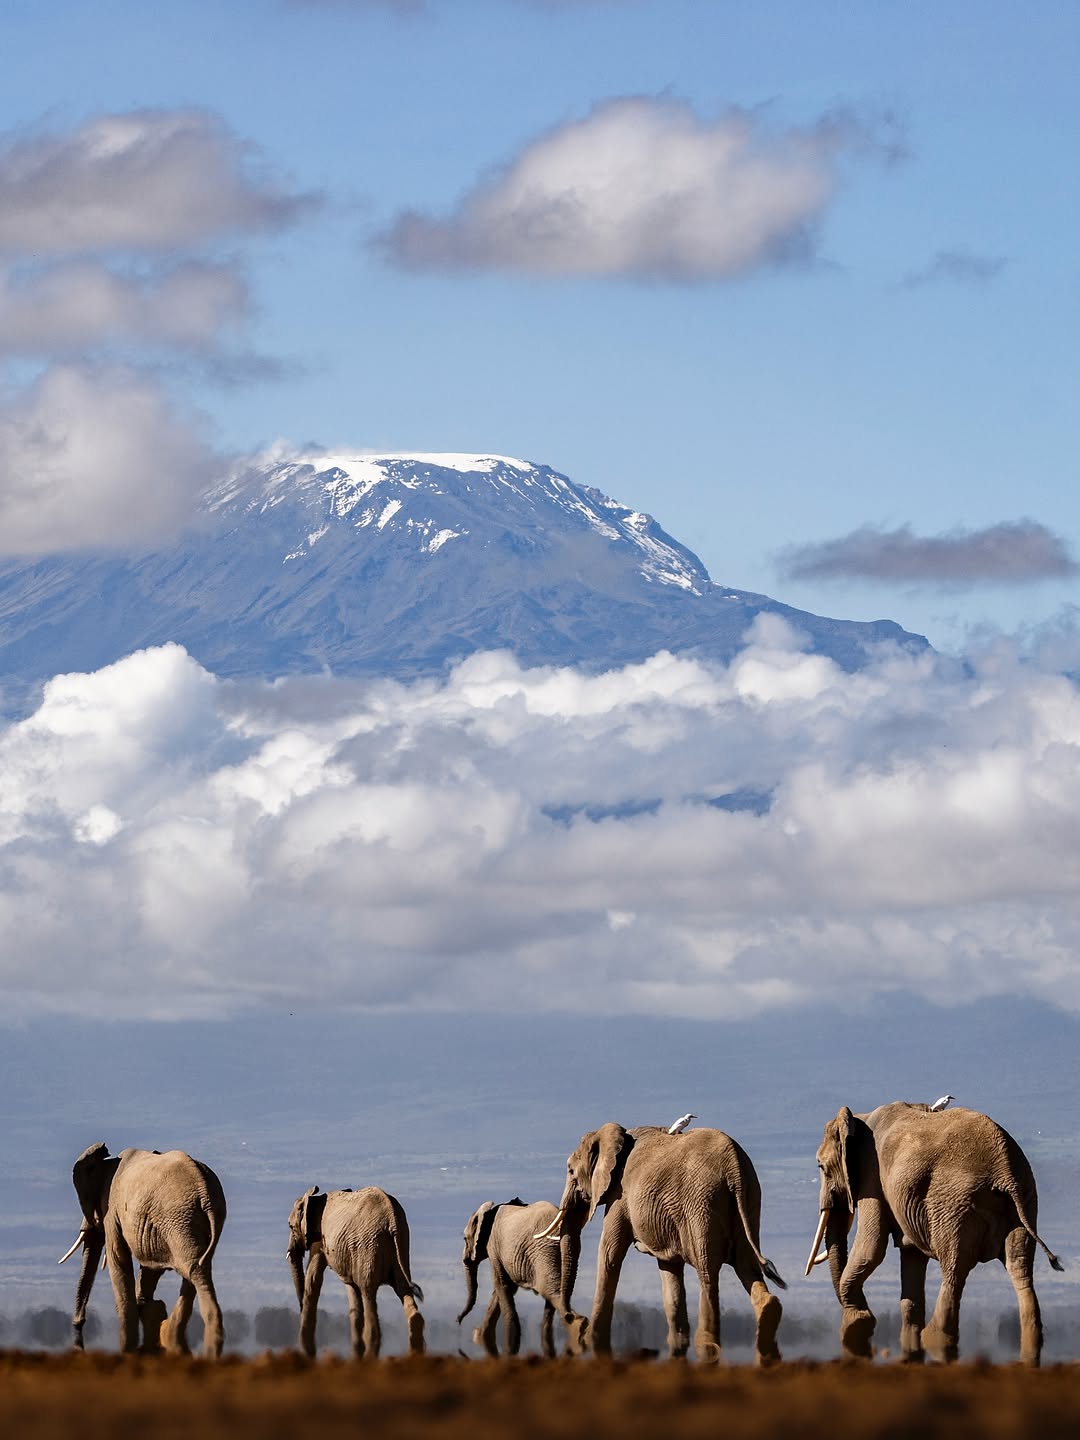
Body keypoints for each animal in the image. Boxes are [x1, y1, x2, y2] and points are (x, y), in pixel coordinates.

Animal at [59, 1142, 226, 1356]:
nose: (78, 1323)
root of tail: (205, 1193)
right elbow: (150, 1267)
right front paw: (143, 1303)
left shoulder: (111, 1208)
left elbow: (117, 1255)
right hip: (198, 1220)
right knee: (198, 1265)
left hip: (180, 1221)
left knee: (194, 1269)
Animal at [287, 1185, 425, 1358]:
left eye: (290, 1226)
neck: (315, 1197)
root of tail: (392, 1219)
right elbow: (352, 1291)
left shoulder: (319, 1241)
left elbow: (313, 1281)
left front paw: (308, 1354)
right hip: (399, 1249)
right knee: (404, 1291)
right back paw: (415, 1355)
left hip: (369, 1247)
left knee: (368, 1293)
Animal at [457, 1197, 589, 1357]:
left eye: (465, 1239)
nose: (458, 1320)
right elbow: (505, 1287)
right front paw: (480, 1336)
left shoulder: (493, 1246)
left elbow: (501, 1284)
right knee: (552, 1290)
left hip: (544, 1252)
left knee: (549, 1289)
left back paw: (578, 1330)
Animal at [538, 1123, 786, 1364]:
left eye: (570, 1170)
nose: (573, 1317)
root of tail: (734, 1166)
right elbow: (669, 1269)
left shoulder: (620, 1195)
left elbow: (609, 1252)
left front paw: (591, 1338)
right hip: (749, 1201)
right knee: (747, 1267)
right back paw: (768, 1325)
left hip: (702, 1204)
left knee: (708, 1272)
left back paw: (707, 1346)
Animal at [806, 1101, 1064, 1365]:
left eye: (821, 1167)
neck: (859, 1118)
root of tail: (1005, 1172)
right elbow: (911, 1256)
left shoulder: (872, 1176)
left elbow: (872, 1248)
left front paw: (857, 1324)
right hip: (1025, 1199)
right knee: (1019, 1266)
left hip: (953, 1205)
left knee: (954, 1268)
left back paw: (934, 1337)